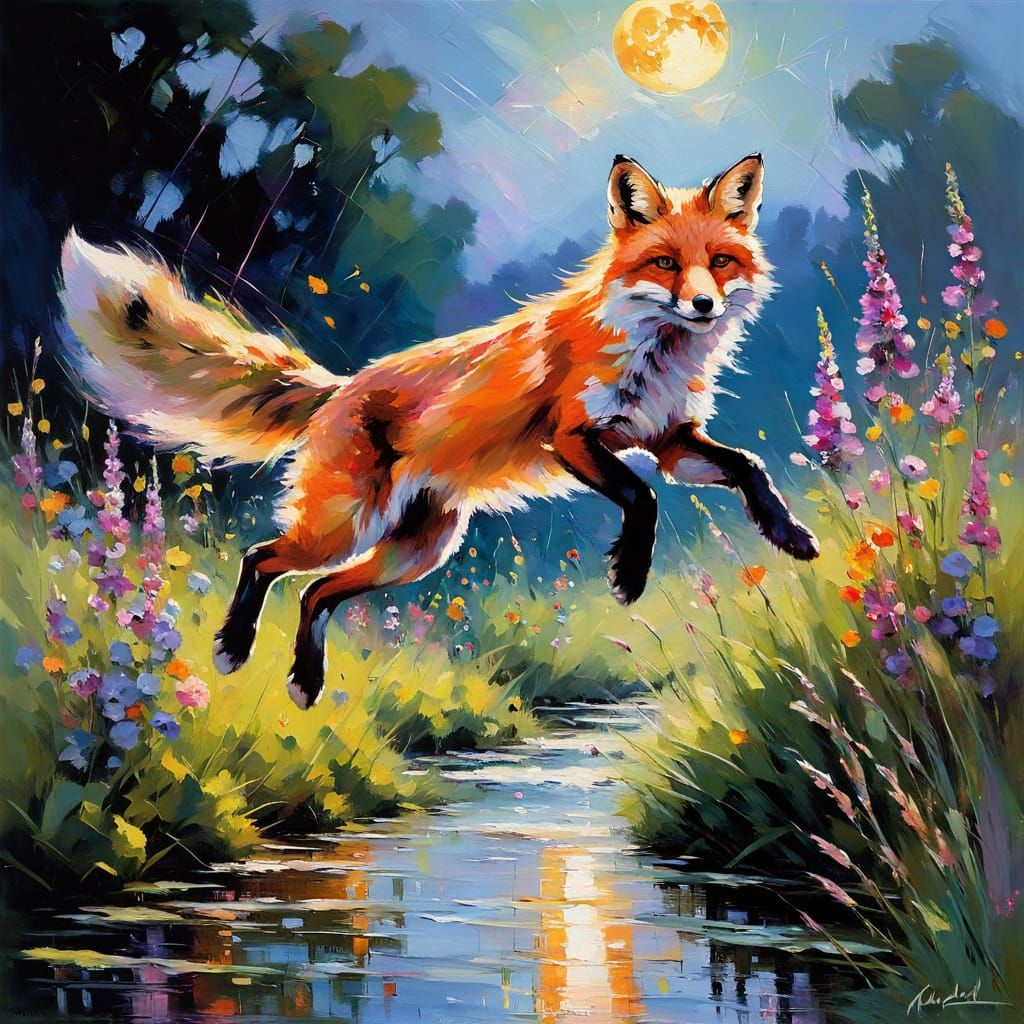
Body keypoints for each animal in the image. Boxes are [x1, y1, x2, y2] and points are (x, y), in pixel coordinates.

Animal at [60, 152, 819, 709]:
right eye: (664, 263)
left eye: (719, 262)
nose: (704, 304)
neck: (653, 351)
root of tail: (342, 386)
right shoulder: (575, 437)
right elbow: (642, 498)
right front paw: (629, 575)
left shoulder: (667, 441)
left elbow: (747, 467)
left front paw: (789, 535)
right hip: (346, 526)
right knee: (262, 558)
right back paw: (234, 647)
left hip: (415, 551)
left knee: (314, 594)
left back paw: (305, 681)